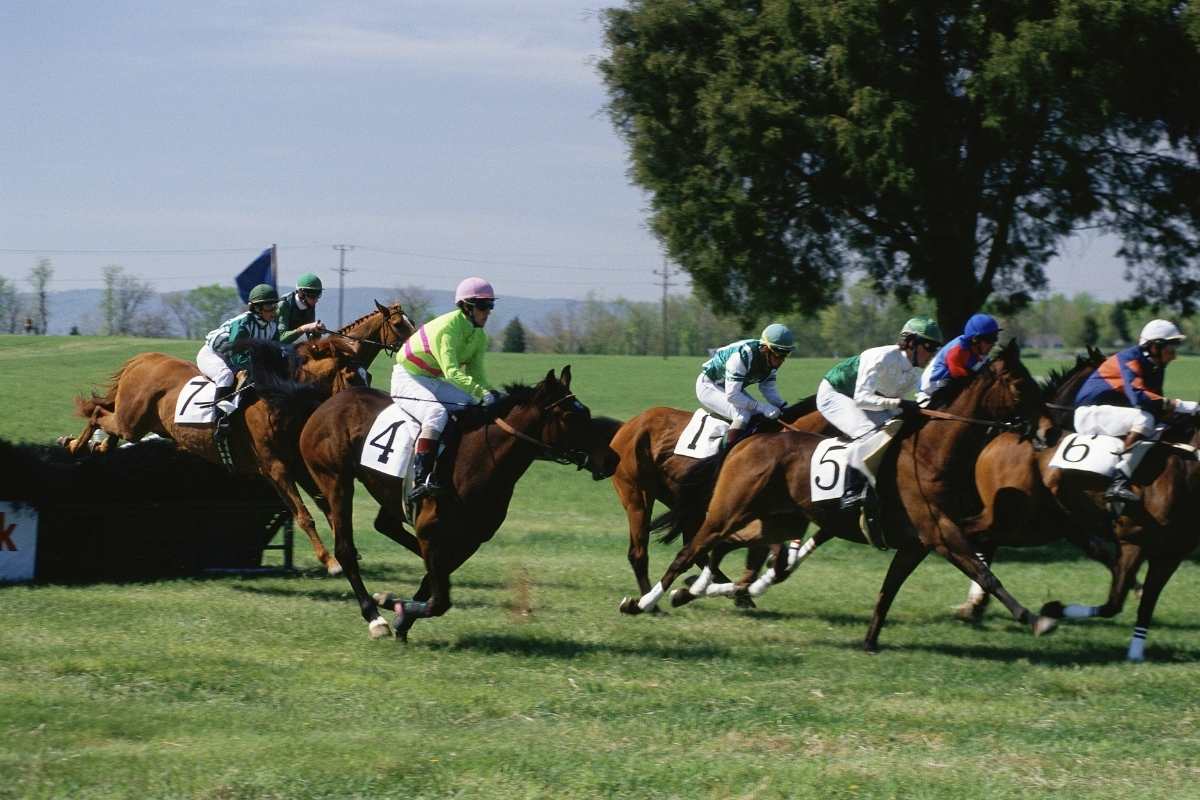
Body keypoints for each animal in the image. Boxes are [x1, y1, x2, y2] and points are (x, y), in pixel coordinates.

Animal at [292, 371, 619, 642]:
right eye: (570, 416)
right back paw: (375, 617)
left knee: (388, 527)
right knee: (346, 549)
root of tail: (329, 402)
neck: (481, 459)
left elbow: (436, 582)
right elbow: (440, 600)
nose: (611, 459)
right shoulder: (430, 530)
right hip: (336, 481)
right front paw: (396, 611)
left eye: (587, 413)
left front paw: (400, 612)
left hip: (386, 492)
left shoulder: (471, 537)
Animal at [604, 398, 830, 604]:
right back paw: (652, 600)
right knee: (640, 552)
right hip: (637, 495)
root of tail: (627, 425)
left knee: (692, 546)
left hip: (680, 501)